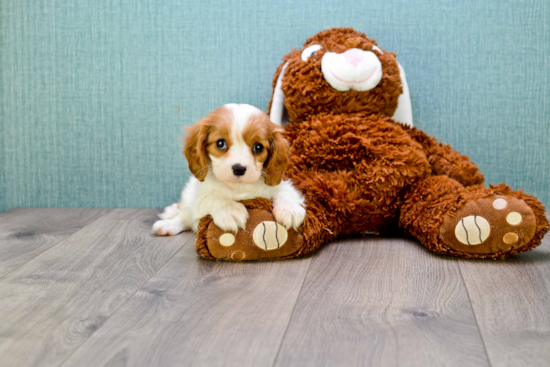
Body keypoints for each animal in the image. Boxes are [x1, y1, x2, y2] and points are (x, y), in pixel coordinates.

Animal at [153, 103, 308, 236]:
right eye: (220, 143)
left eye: (258, 147)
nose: (239, 169)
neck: (239, 187)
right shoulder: (199, 200)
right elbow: (212, 197)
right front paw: (230, 211)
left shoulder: (286, 186)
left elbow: (284, 192)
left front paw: (290, 209)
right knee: (184, 216)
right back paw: (167, 223)